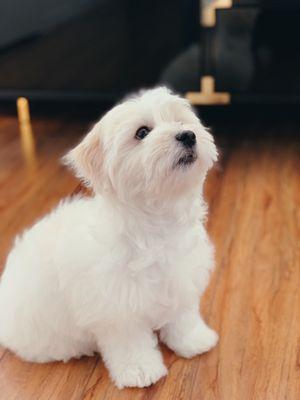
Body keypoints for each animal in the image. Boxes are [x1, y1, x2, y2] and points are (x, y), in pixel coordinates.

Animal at [0, 86, 218, 388]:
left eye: (180, 121)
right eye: (142, 132)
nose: (187, 135)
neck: (155, 223)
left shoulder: (181, 278)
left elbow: (183, 315)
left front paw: (194, 339)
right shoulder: (116, 307)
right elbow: (130, 341)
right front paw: (141, 369)